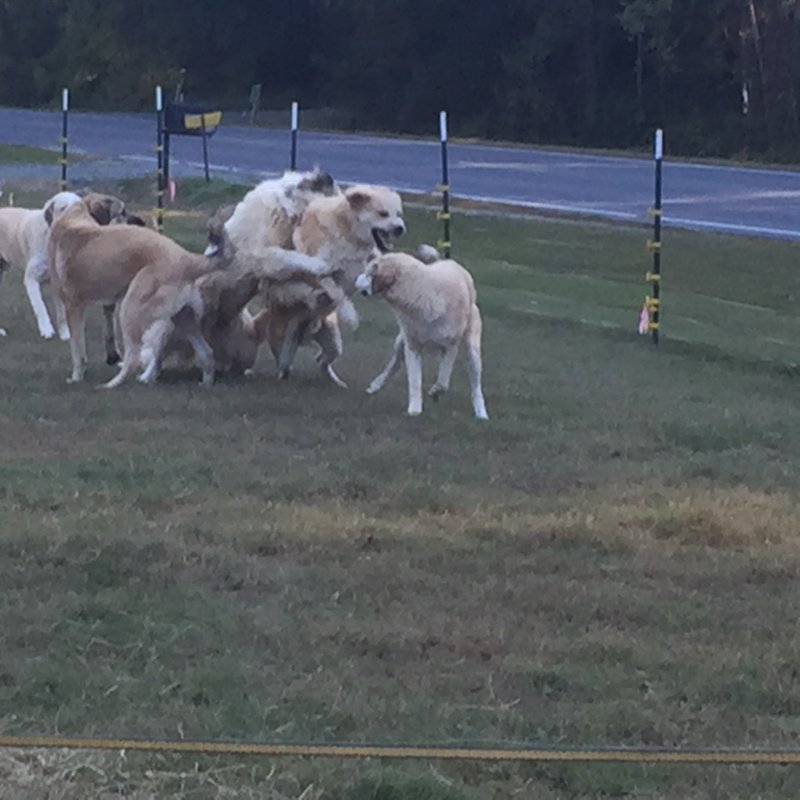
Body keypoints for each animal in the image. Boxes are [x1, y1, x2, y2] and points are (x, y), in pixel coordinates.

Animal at [48, 194, 186, 382]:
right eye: (122, 211)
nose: (141, 221)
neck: (75, 216)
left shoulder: (73, 305)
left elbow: (77, 346)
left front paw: (77, 376)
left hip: (132, 307)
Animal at [354, 248, 488, 418]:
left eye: (370, 273)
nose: (355, 281)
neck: (420, 290)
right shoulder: (412, 346)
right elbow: (415, 380)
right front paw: (415, 409)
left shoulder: (451, 345)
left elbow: (443, 379)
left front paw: (436, 390)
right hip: (400, 343)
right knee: (394, 365)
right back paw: (376, 385)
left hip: (472, 351)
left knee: (475, 385)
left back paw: (481, 413)